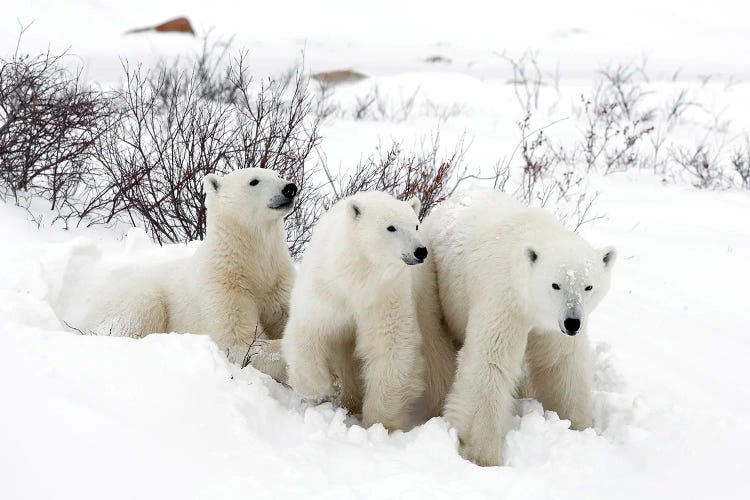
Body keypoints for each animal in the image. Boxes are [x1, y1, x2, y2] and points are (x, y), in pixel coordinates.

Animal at [83, 168, 298, 364]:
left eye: (278, 174)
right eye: (254, 181)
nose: (290, 188)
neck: (249, 264)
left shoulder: (278, 282)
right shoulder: (224, 283)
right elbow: (239, 342)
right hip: (133, 297)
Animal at [284, 191, 428, 430]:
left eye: (416, 225)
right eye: (391, 227)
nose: (420, 251)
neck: (359, 276)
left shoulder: (385, 295)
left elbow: (390, 344)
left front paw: (381, 422)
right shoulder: (326, 290)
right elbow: (308, 332)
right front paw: (322, 391)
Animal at [418, 190, 616, 464]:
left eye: (588, 286)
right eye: (555, 285)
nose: (572, 322)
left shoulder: (550, 324)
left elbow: (561, 362)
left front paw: (578, 427)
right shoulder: (504, 298)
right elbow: (491, 363)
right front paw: (482, 455)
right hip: (436, 282)